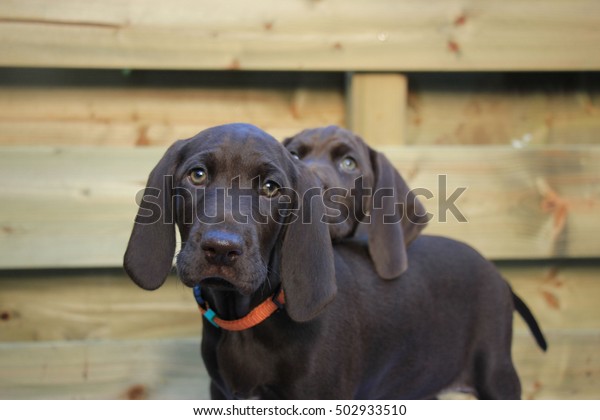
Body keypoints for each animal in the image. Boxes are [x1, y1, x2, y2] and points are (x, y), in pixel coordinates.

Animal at [125, 123, 544, 398]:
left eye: (271, 188)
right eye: (196, 175)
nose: (221, 249)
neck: (247, 318)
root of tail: (498, 275)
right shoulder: (222, 392)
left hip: (497, 374)